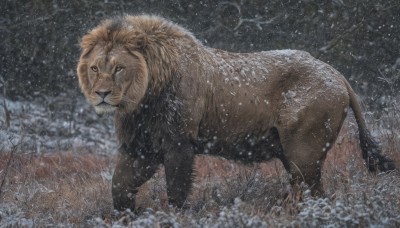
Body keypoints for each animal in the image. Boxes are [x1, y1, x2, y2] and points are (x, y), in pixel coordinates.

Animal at [76, 13, 396, 210]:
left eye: (119, 68)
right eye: (95, 68)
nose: (102, 94)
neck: (143, 100)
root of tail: (337, 74)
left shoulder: (179, 141)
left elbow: (176, 189)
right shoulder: (140, 145)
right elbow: (119, 185)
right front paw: (125, 215)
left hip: (305, 149)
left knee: (314, 191)